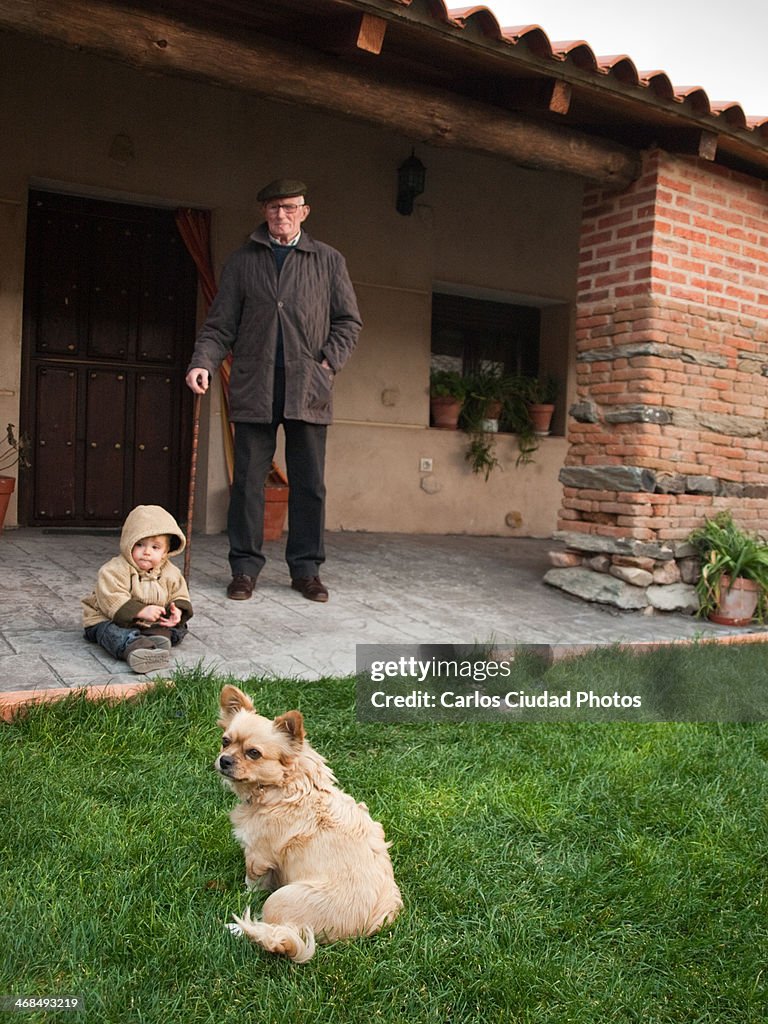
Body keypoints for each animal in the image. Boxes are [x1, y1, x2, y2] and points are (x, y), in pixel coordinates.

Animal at [211, 684, 403, 962]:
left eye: (254, 753)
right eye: (225, 741)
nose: (224, 760)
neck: (282, 786)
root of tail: (366, 929)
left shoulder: (257, 855)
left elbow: (253, 883)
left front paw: (244, 894)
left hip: (279, 900)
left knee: (274, 928)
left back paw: (236, 928)